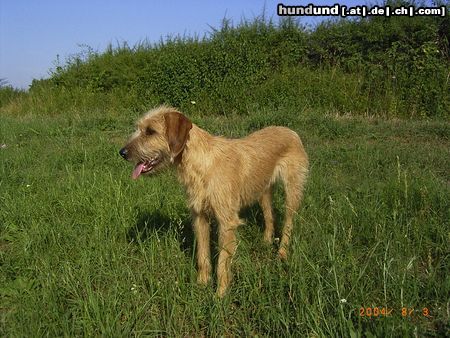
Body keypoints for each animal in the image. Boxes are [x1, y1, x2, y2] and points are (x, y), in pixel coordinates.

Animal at [119, 105, 310, 296]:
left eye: (151, 131)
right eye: (139, 128)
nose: (122, 153)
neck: (201, 164)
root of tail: (291, 131)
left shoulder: (227, 222)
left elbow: (222, 264)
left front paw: (220, 295)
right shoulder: (199, 217)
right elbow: (203, 256)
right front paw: (201, 285)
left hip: (292, 191)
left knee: (288, 223)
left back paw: (282, 253)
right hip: (263, 191)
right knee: (269, 216)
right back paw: (266, 242)